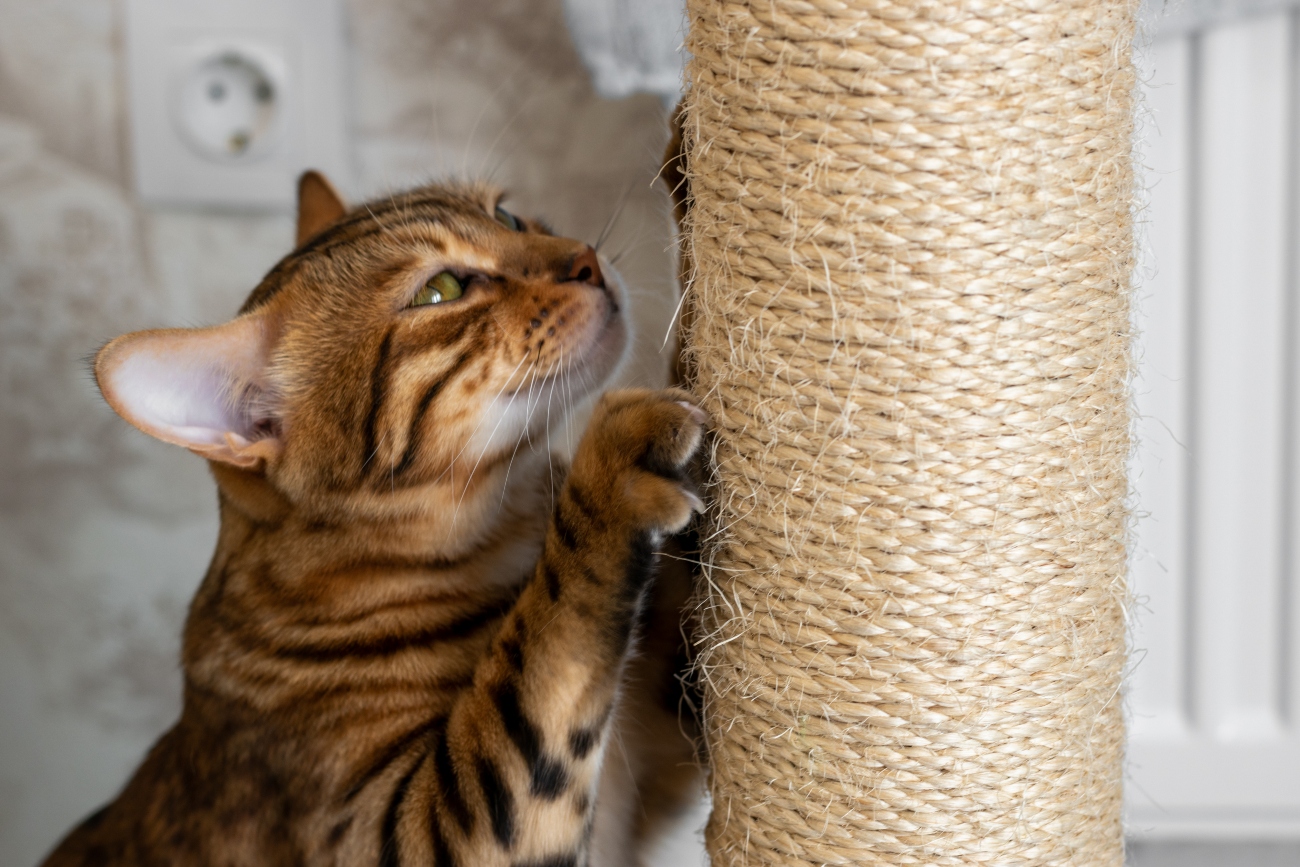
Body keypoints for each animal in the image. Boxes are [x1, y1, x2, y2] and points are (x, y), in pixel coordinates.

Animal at [40, 172, 707, 863]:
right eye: (441, 290)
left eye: (509, 219)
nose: (586, 258)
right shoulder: (412, 832)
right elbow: (547, 643)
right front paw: (610, 471)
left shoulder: (659, 742)